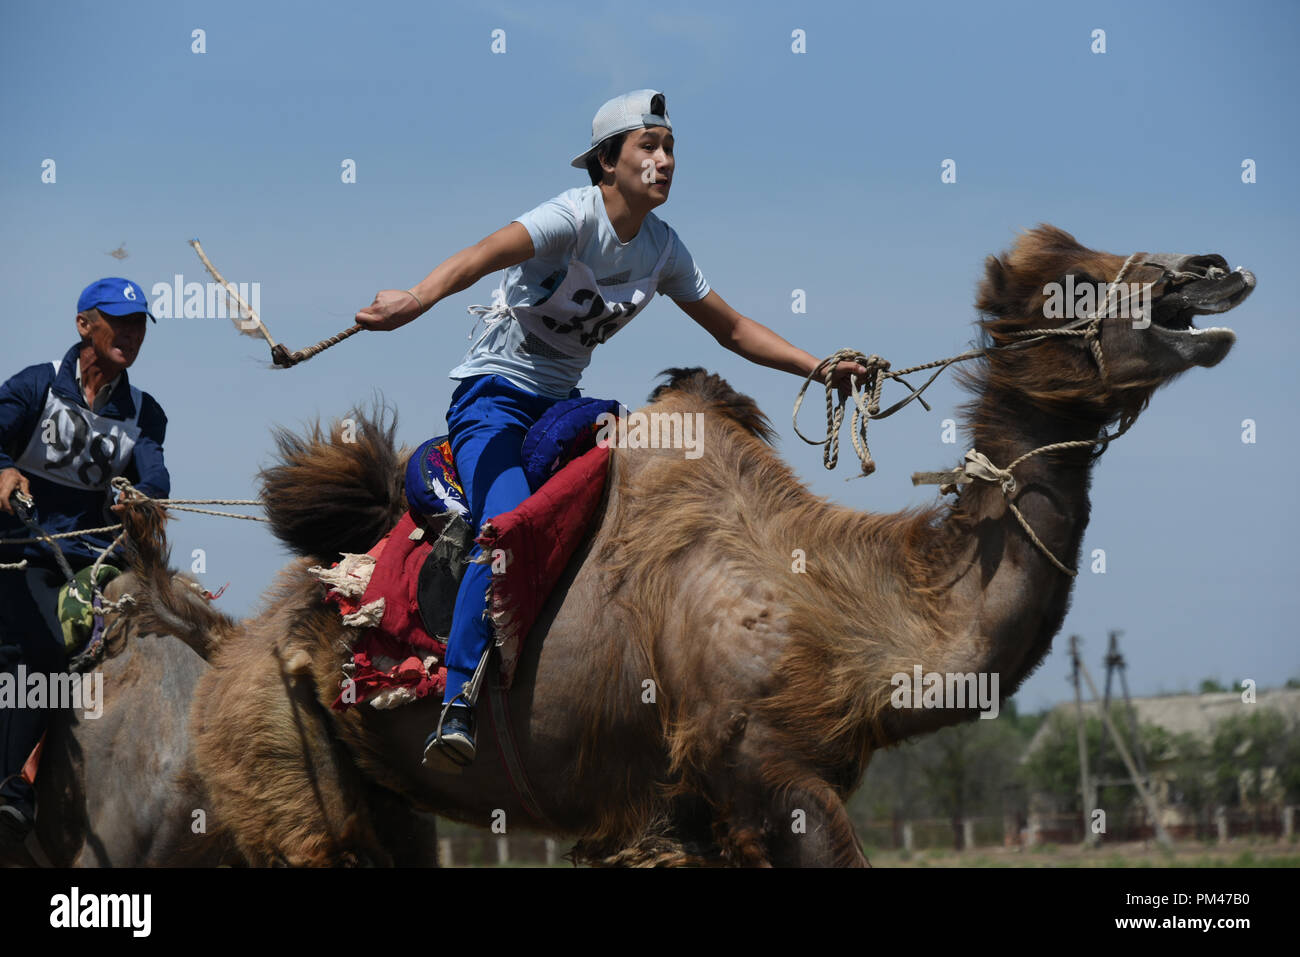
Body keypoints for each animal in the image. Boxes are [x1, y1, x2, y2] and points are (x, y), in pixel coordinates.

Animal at [116, 223, 1253, 868]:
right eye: (1076, 283)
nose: (1211, 268)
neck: (838, 609)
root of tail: (231, 640)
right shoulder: (754, 774)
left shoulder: (699, 807)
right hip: (277, 770)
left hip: (379, 802)